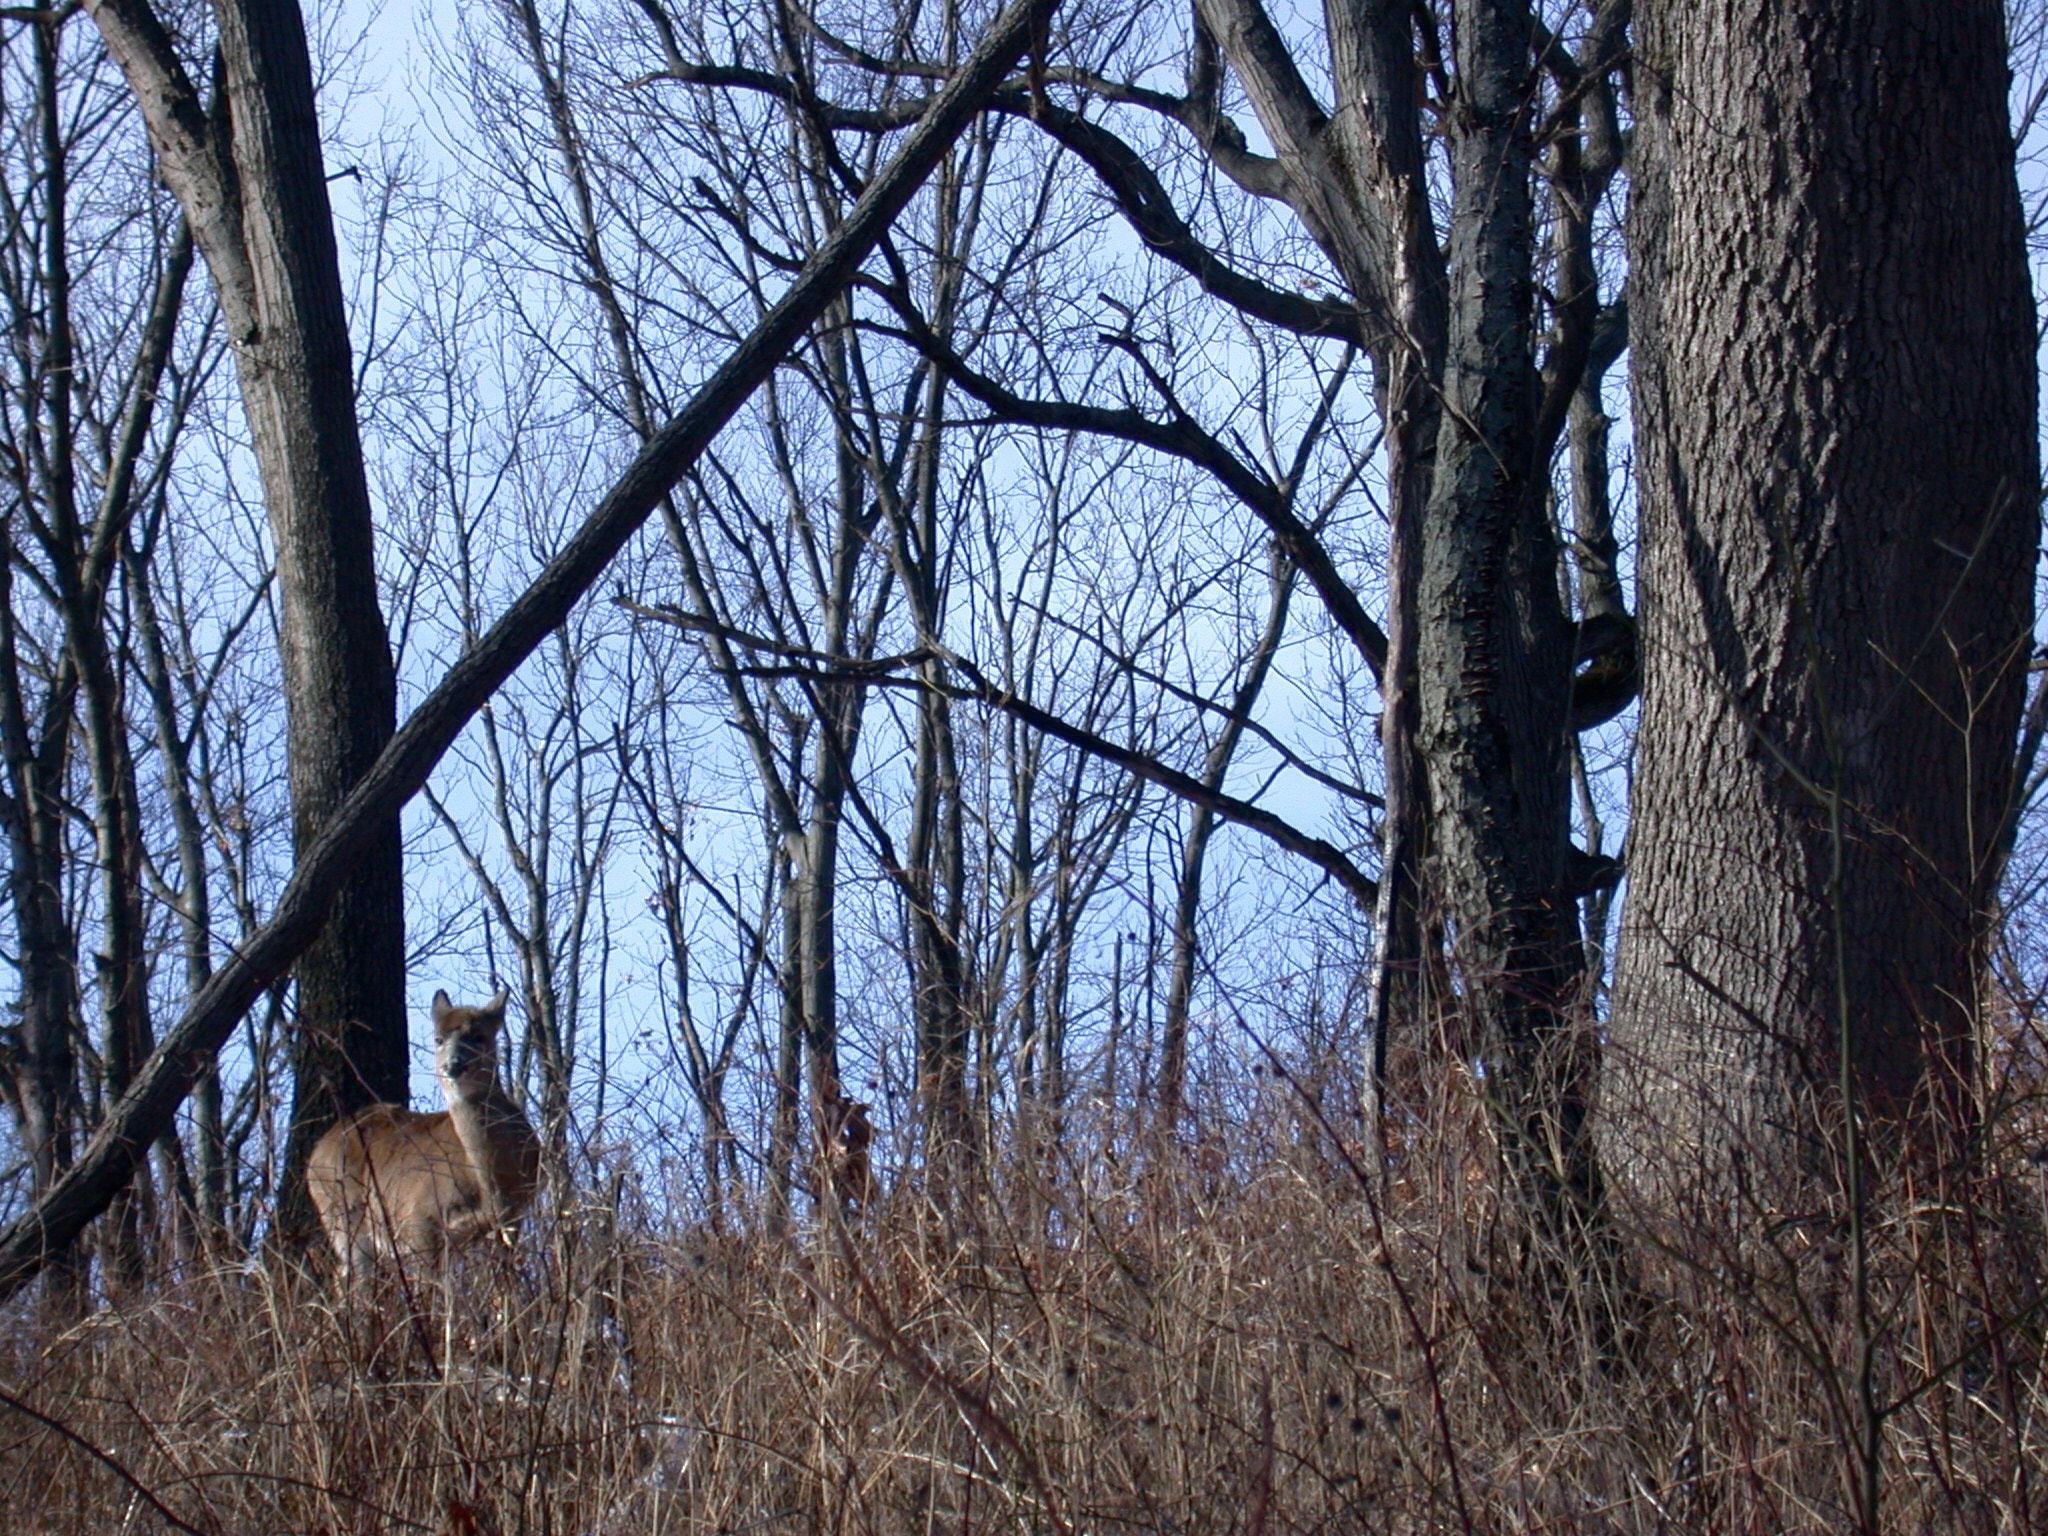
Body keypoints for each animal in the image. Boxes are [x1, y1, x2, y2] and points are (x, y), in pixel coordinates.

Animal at [307, 988, 542, 1287]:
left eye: (479, 1036)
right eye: (438, 1038)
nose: (453, 1065)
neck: (491, 1182)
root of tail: (316, 1153)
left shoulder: (511, 1219)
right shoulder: (418, 1221)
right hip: (341, 1212)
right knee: (354, 1274)